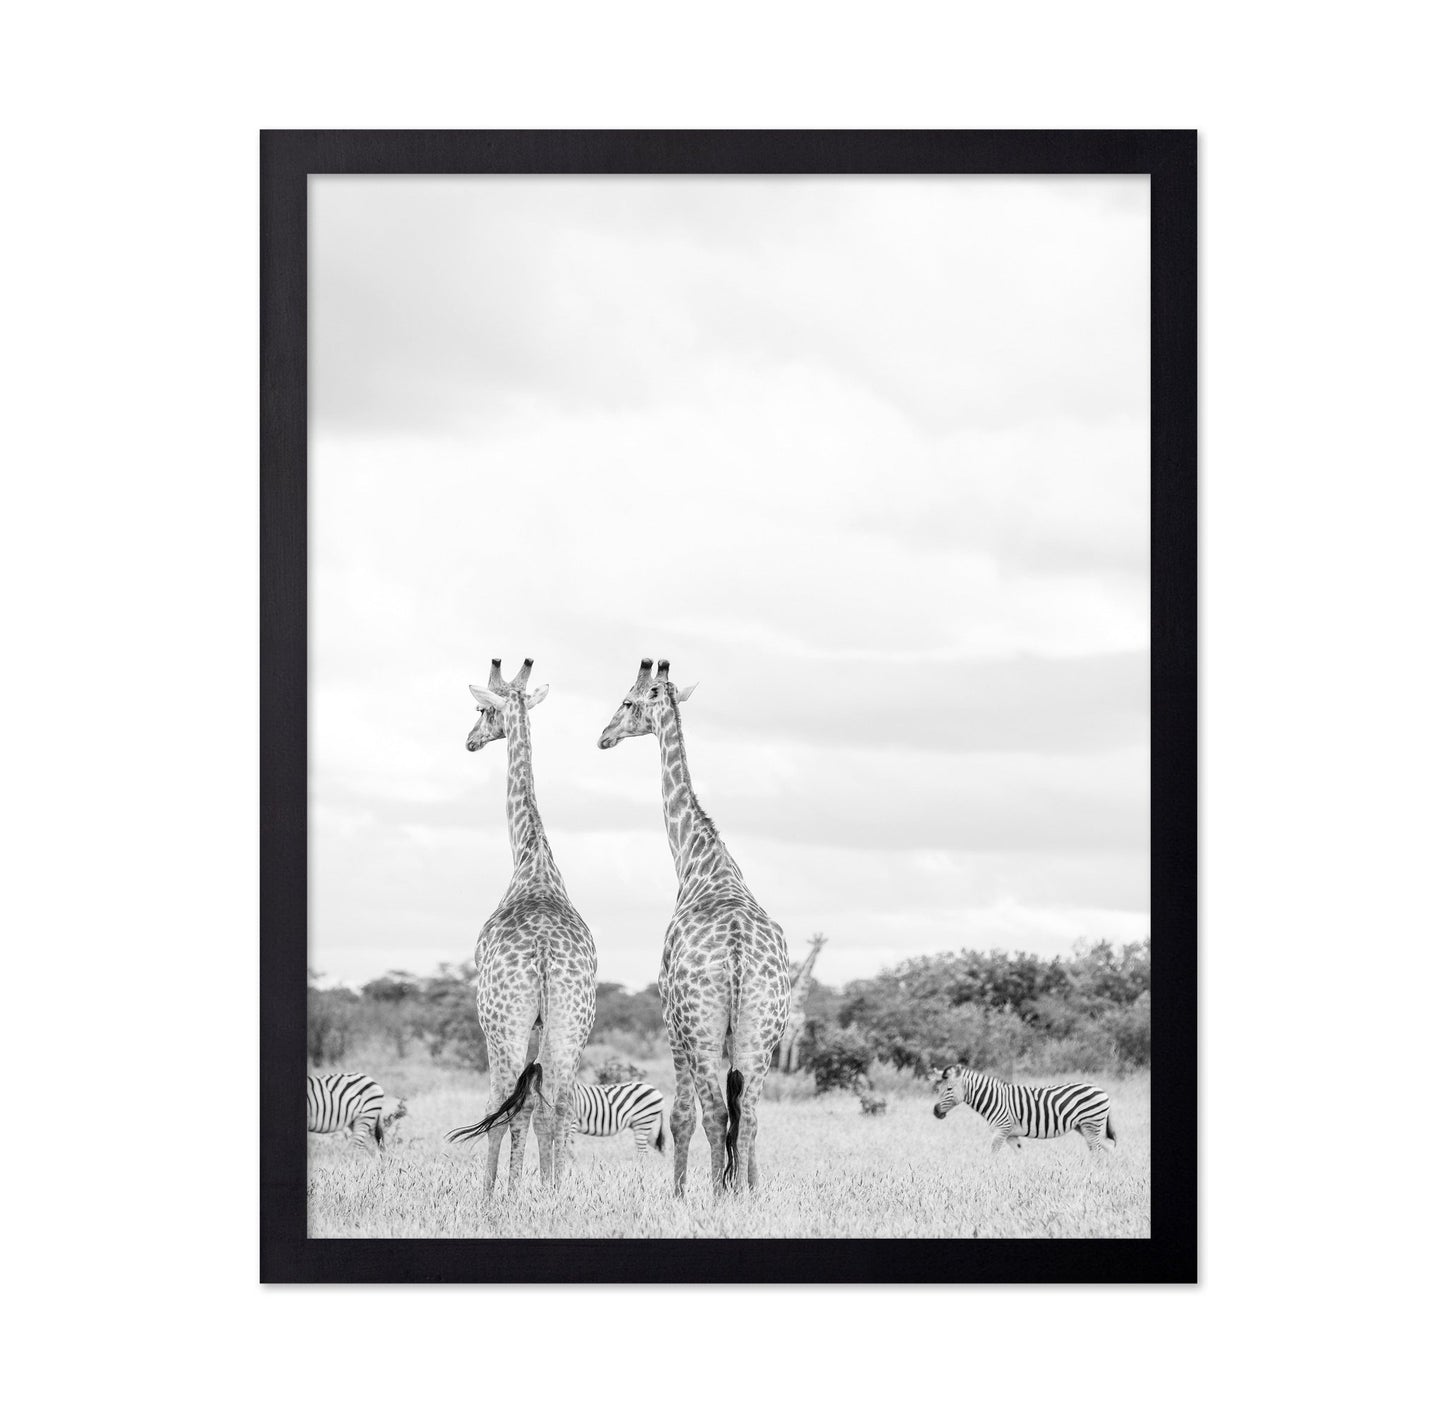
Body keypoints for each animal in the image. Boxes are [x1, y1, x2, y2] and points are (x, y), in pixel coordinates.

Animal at [447, 657, 598, 1195]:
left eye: (481, 710)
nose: (469, 740)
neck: (532, 861)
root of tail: (546, 957)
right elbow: (536, 1104)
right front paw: (530, 1186)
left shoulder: (504, 1024)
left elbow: (509, 1106)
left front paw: (501, 1191)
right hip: (572, 1024)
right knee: (559, 1104)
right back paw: (555, 1192)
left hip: (502, 1024)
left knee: (500, 1103)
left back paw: (494, 1195)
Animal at [597, 658, 791, 1196]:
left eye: (626, 701)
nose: (603, 736)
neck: (698, 861)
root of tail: (738, 955)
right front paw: (741, 1186)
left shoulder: (670, 1020)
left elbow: (682, 1115)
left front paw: (680, 1193)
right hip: (763, 1033)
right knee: (749, 1115)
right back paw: (745, 1192)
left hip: (700, 1031)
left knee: (714, 1114)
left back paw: (716, 1193)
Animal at [779, 933, 826, 1074]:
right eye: (814, 943)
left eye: (821, 943)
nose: (818, 949)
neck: (798, 1004)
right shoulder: (789, 1029)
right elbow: (786, 1046)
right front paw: (782, 1070)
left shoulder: (800, 1029)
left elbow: (795, 1048)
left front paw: (792, 1070)